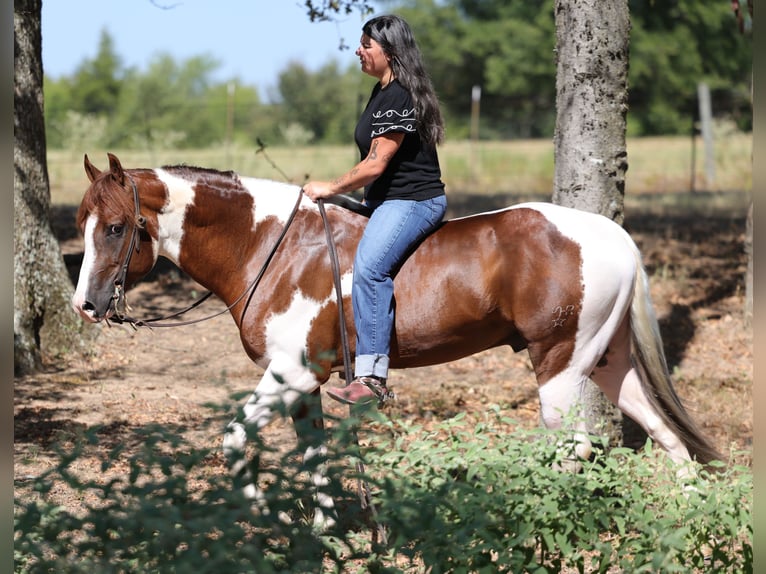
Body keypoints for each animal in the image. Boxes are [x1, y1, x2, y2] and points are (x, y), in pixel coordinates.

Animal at [72, 153, 721, 527]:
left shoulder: (290, 374)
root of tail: (613, 236)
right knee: (669, 440)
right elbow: (314, 457)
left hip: (560, 366)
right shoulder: (305, 384)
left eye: (116, 227)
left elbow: (234, 439)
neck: (274, 247)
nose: (86, 305)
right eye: (84, 224)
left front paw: (268, 519)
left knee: (574, 450)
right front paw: (323, 532)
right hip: (609, 362)